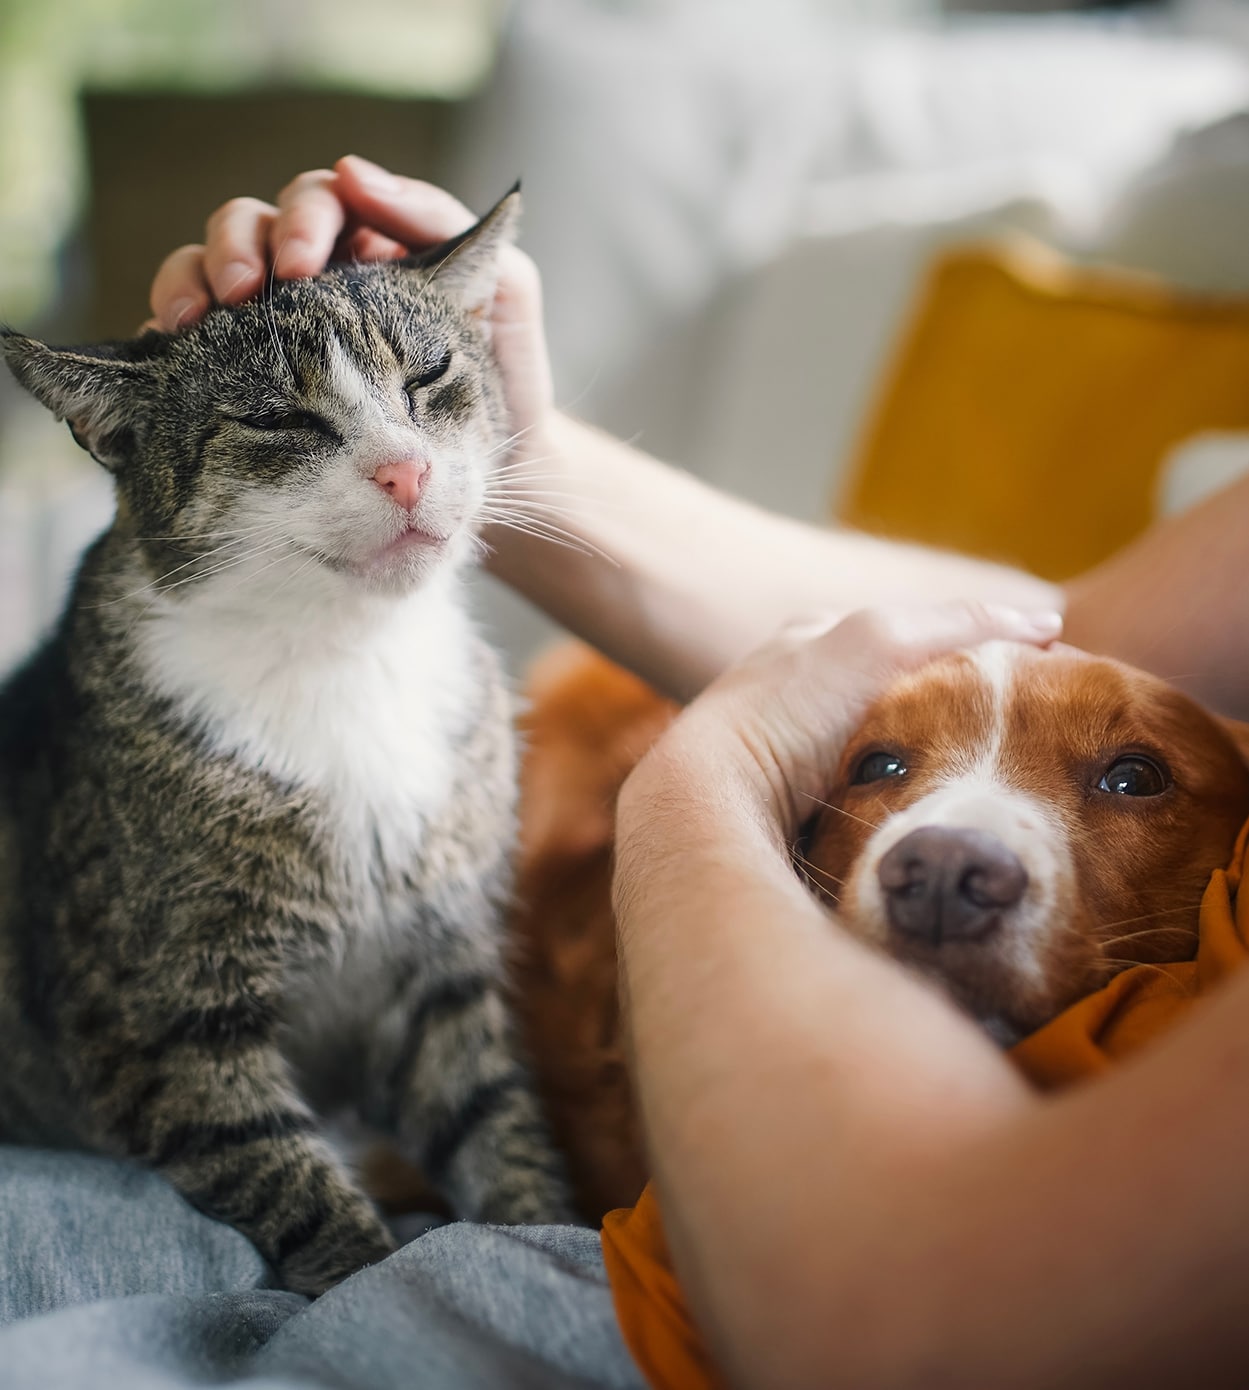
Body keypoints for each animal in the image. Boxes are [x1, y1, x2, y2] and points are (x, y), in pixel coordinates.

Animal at [0, 193, 575, 1289]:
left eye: (428, 376)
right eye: (277, 419)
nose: (405, 470)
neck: (344, 656)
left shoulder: (438, 980)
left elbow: (498, 1126)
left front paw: (546, 1240)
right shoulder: (162, 1027)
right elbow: (294, 1186)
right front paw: (365, 1269)